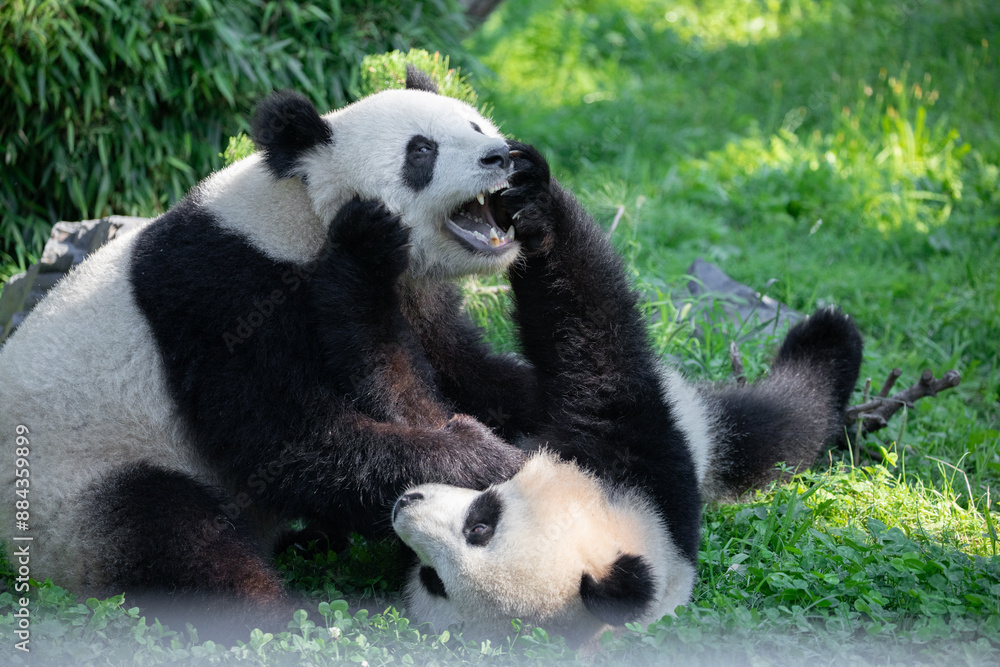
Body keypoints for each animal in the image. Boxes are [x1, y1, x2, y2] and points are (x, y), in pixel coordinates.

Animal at [390, 143, 864, 648]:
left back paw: (829, 338)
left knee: (779, 423)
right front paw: (531, 199)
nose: (403, 505)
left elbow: (594, 339)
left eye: (478, 528)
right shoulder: (637, 459)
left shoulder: (647, 463)